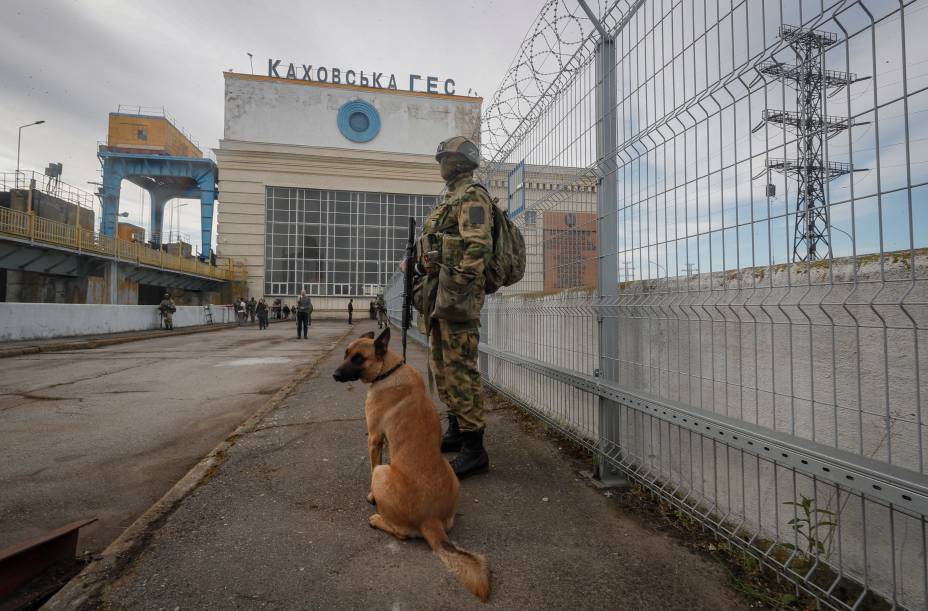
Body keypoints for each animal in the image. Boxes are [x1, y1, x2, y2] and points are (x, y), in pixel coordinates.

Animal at [336, 330, 492, 604]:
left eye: (358, 358)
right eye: (346, 354)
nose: (334, 374)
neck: (388, 369)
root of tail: (430, 521)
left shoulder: (374, 439)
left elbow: (372, 463)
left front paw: (371, 497)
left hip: (383, 472)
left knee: (401, 533)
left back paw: (377, 518)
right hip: (449, 474)